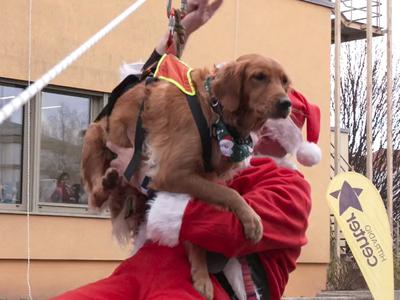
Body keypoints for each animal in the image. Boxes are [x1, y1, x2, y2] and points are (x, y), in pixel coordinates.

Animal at [80, 52, 290, 298]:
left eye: (284, 81)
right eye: (259, 77)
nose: (286, 103)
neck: (214, 111)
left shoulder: (201, 180)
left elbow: (195, 230)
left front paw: (201, 276)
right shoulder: (172, 173)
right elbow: (231, 194)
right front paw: (252, 219)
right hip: (94, 135)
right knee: (95, 196)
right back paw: (107, 183)